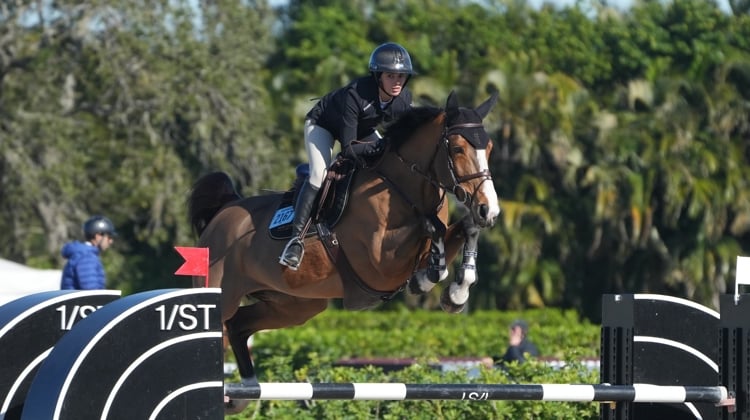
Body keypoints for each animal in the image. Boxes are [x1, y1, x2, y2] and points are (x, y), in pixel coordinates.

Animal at [189, 91, 506, 398]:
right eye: (458, 149)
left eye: (489, 148)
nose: (488, 209)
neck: (400, 187)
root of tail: (224, 212)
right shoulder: (380, 264)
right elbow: (433, 231)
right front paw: (428, 279)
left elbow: (465, 229)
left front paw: (457, 293)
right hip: (222, 293)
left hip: (295, 304)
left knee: (238, 326)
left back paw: (243, 393)